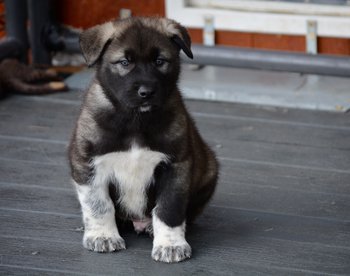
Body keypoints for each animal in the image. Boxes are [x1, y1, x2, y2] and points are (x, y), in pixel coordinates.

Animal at [68, 17, 219, 264]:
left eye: (159, 61)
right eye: (124, 62)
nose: (146, 92)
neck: (135, 120)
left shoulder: (176, 166)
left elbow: (169, 208)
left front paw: (170, 244)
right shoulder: (87, 163)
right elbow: (98, 204)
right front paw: (103, 236)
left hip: (209, 170)